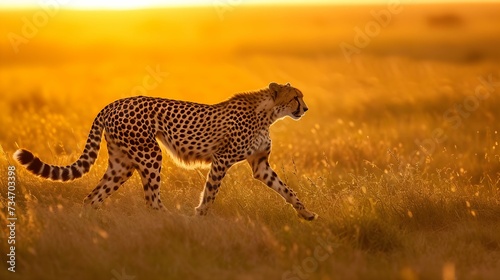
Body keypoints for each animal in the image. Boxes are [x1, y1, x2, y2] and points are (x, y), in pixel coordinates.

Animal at [13, 82, 318, 220]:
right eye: (296, 97)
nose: (305, 108)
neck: (268, 114)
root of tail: (112, 103)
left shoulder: (260, 165)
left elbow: (286, 189)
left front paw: (306, 213)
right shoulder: (221, 159)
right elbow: (210, 192)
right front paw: (200, 217)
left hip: (122, 164)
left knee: (93, 197)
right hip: (150, 154)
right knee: (151, 200)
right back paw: (171, 219)